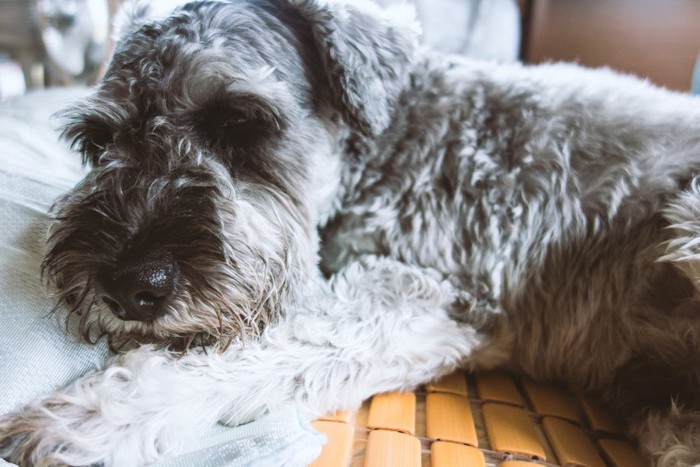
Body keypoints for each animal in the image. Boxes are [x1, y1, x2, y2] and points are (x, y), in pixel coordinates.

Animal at [1, 0, 700, 466]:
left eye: (242, 123)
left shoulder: (423, 288)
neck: (389, 140)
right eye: (97, 143)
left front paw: (91, 415)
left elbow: (277, 343)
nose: (127, 286)